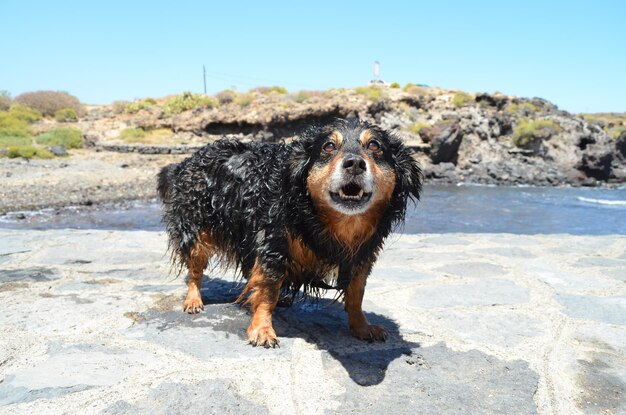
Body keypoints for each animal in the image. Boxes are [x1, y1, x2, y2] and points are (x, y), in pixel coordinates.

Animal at [156, 118, 420, 350]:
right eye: (328, 146)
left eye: (375, 146)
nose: (354, 163)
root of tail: (185, 162)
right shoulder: (273, 242)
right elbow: (267, 289)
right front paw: (262, 329)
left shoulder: (362, 254)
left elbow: (356, 293)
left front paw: (362, 326)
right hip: (196, 231)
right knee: (195, 269)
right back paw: (194, 299)